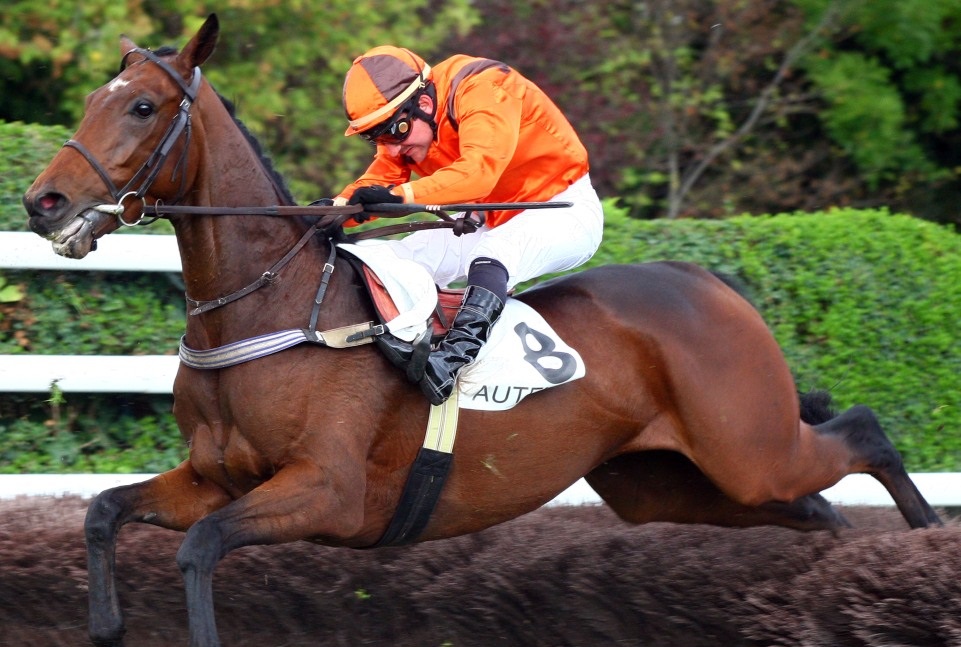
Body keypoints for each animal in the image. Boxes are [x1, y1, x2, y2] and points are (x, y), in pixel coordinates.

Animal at [20, 13, 936, 647]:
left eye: (142, 106)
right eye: (95, 99)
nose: (43, 202)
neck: (272, 306)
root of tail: (706, 281)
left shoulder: (325, 489)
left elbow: (200, 548)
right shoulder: (214, 477)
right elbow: (103, 511)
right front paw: (105, 623)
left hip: (746, 446)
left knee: (861, 430)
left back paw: (925, 541)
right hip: (668, 481)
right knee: (817, 505)